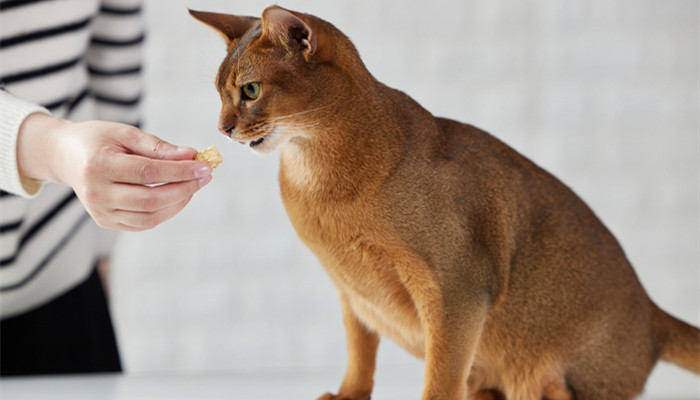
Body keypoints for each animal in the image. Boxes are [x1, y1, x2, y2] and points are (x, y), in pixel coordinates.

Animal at [190, 6, 700, 400]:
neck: (318, 177)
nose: (223, 128)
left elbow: (441, 374)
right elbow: (360, 354)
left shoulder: (457, 290)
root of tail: (651, 315)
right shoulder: (351, 293)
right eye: (218, 94)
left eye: (250, 91)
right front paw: (349, 394)